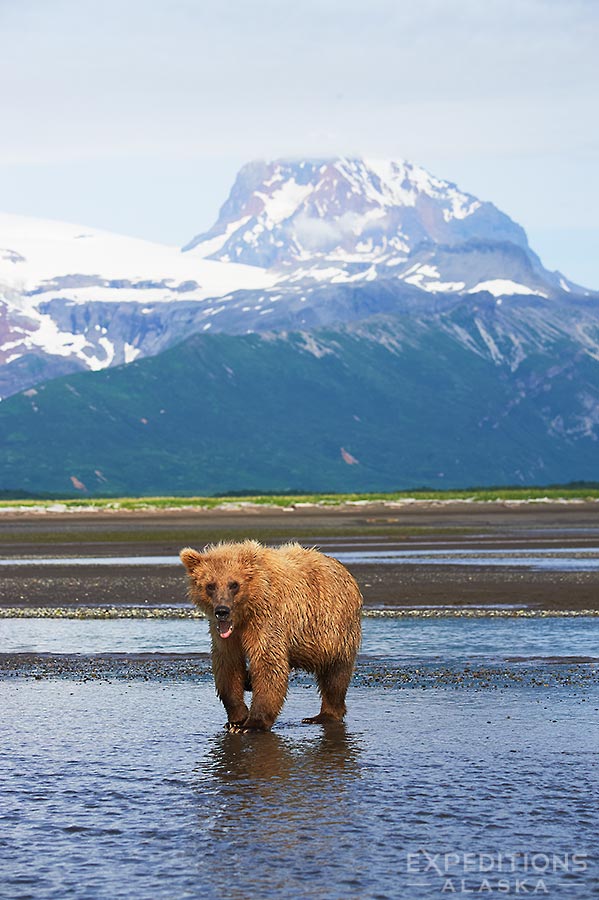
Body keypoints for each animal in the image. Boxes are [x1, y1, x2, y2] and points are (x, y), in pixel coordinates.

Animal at [180, 539, 362, 732]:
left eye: (234, 584)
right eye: (210, 585)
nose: (222, 610)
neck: (246, 611)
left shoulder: (267, 618)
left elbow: (268, 662)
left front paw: (251, 724)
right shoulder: (225, 635)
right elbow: (228, 665)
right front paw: (236, 720)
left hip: (333, 627)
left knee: (335, 673)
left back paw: (324, 715)